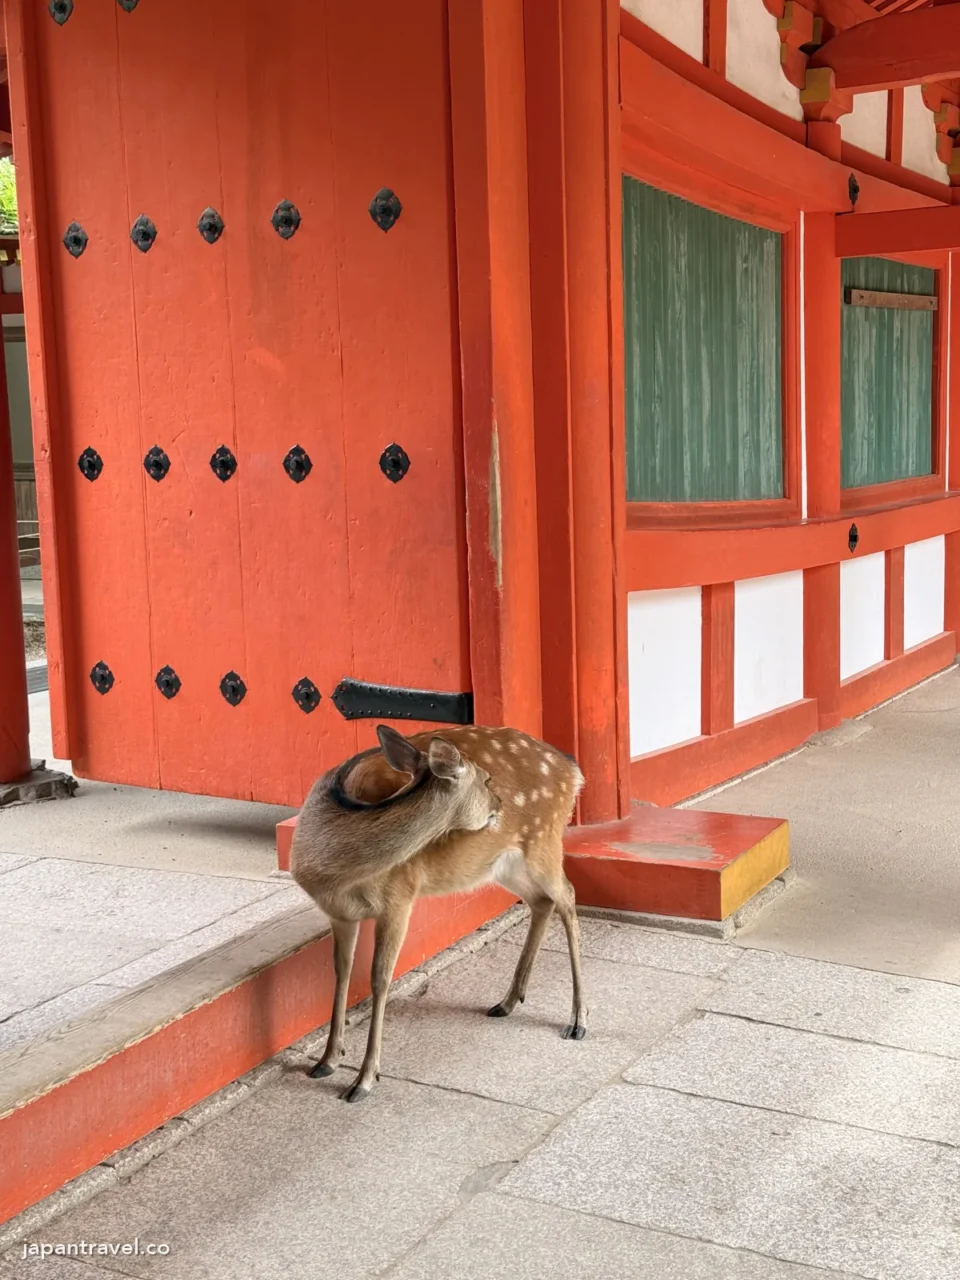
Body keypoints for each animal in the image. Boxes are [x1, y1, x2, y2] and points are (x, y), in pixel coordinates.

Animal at [290, 723, 587, 1102]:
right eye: (487, 779)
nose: (500, 804)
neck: (335, 873)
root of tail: (572, 770)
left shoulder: (399, 896)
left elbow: (380, 979)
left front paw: (364, 1079)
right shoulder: (340, 914)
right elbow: (340, 975)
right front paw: (327, 1060)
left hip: (543, 841)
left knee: (568, 894)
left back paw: (578, 1020)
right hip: (504, 864)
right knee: (542, 901)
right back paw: (506, 1002)